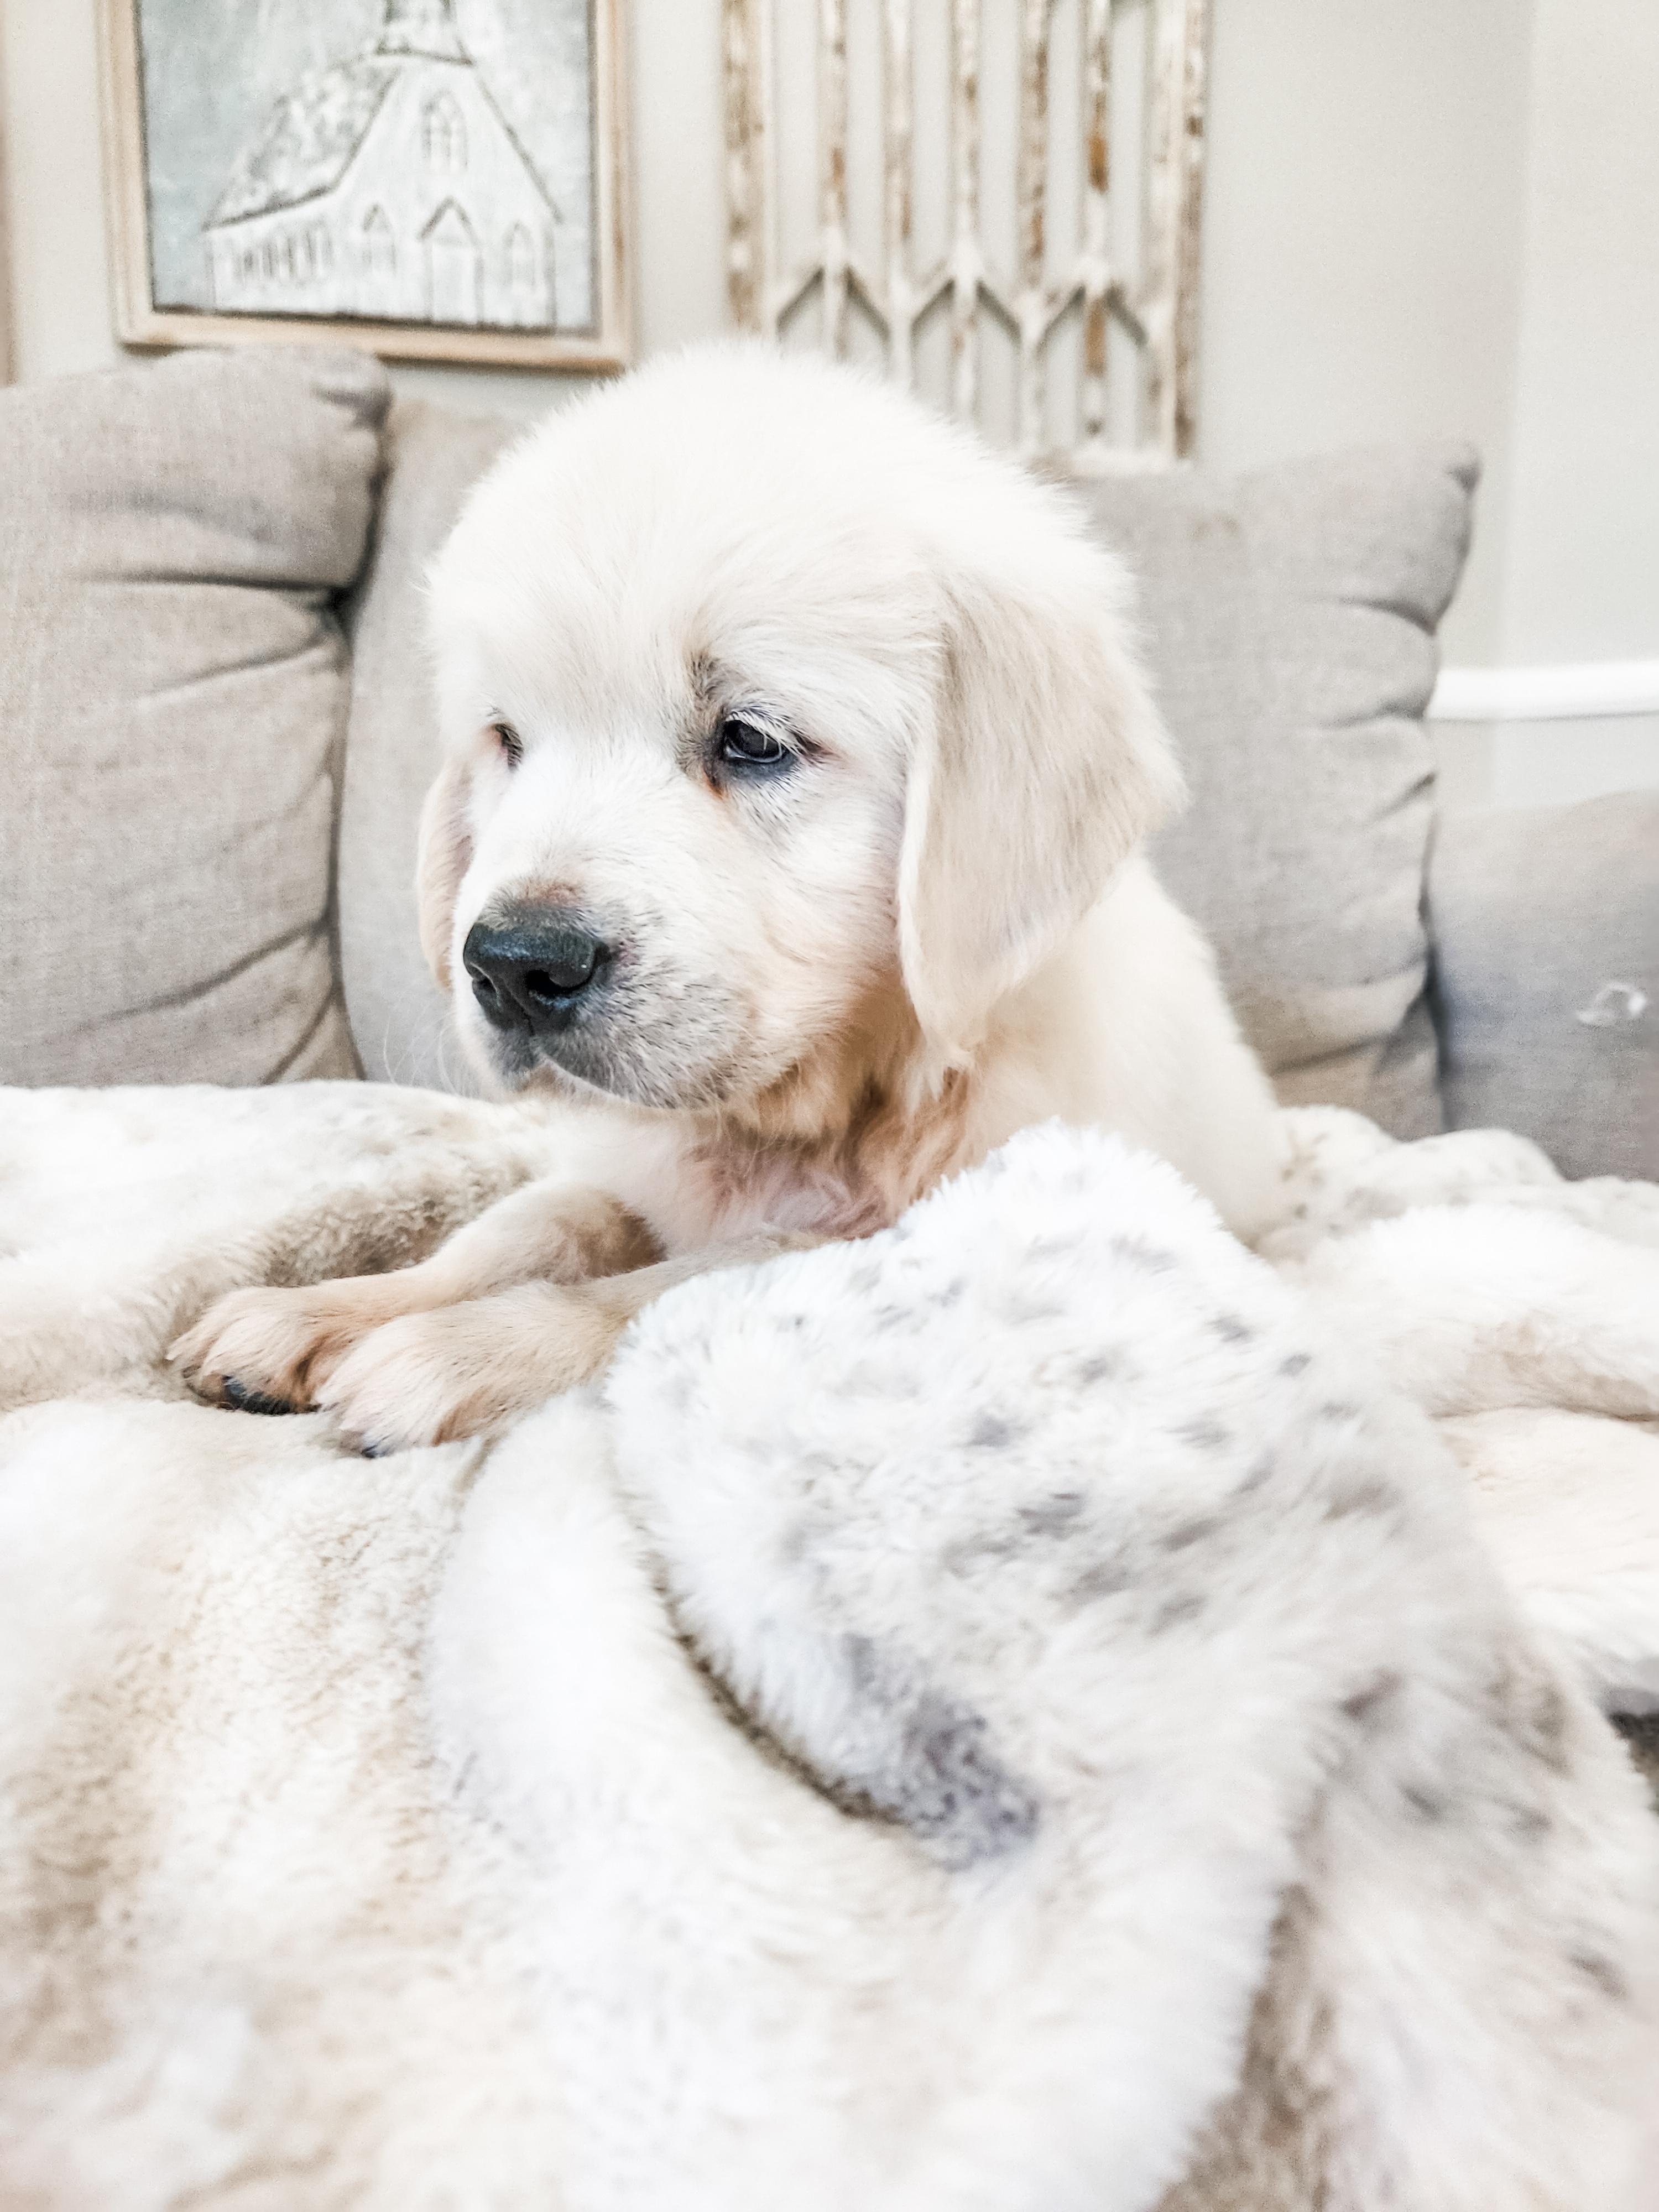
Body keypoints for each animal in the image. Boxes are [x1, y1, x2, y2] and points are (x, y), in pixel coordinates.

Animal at [173, 344, 1284, 1453]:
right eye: (508, 741)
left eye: (751, 740)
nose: (512, 966)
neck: (817, 1108)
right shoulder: (622, 1162)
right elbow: (533, 1224)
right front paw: (324, 1310)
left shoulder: (920, 1241)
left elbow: (677, 1284)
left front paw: (456, 1350)